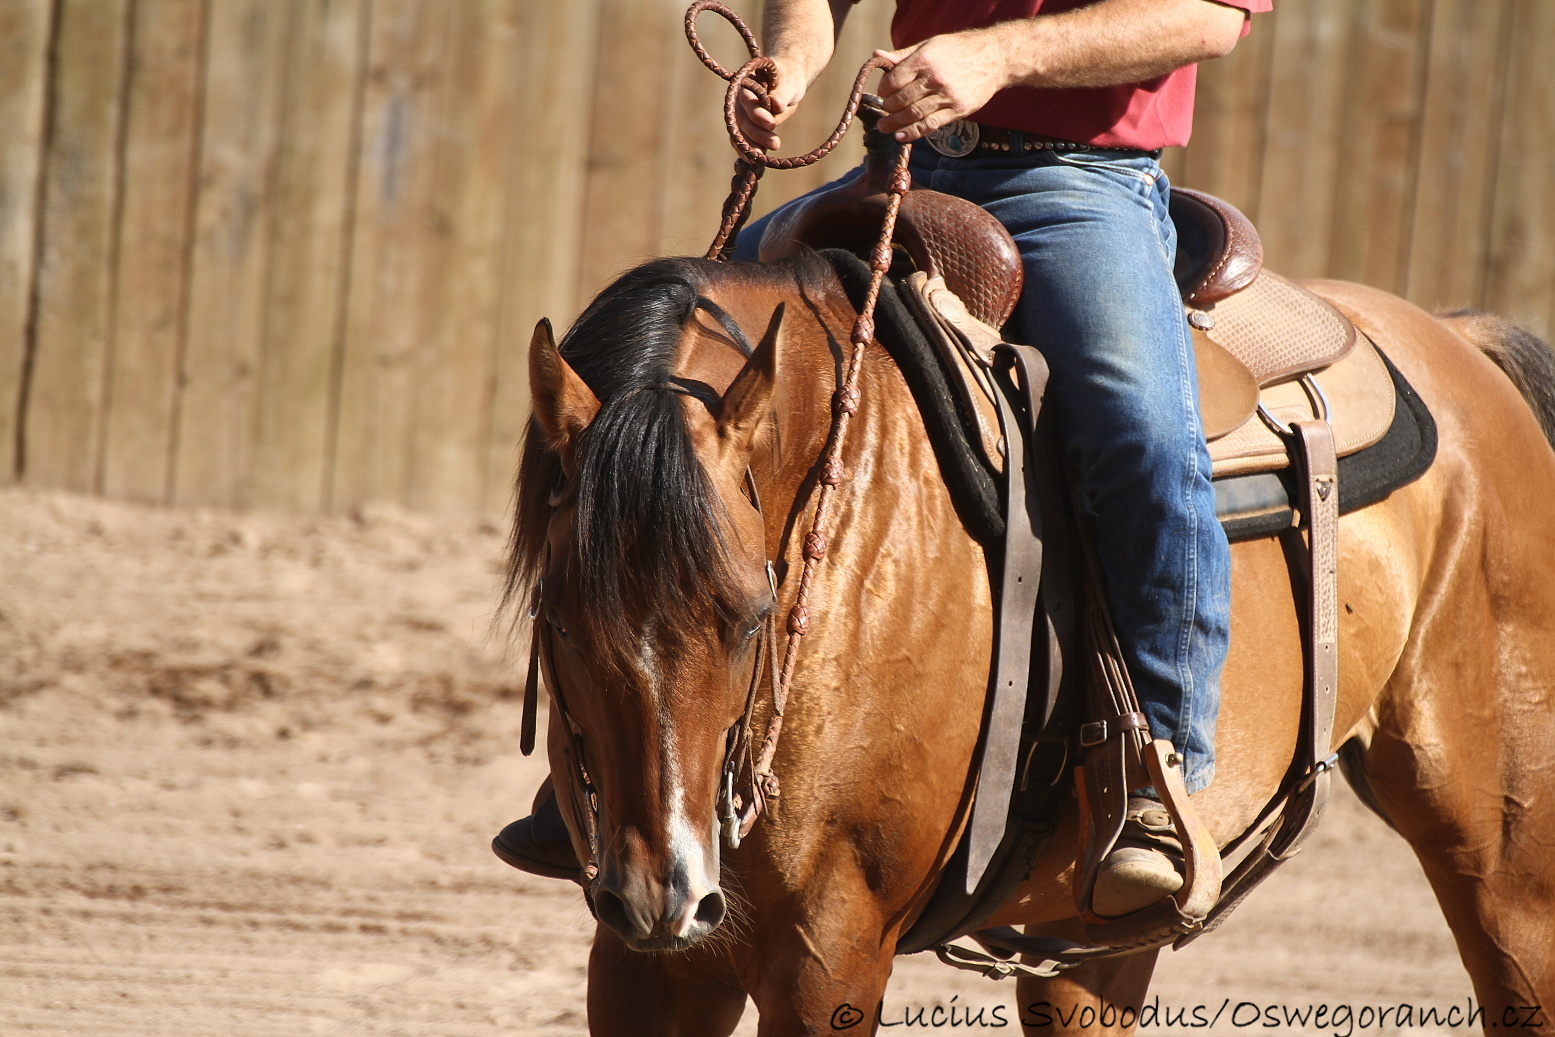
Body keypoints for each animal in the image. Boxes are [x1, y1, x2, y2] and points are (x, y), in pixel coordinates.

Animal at [516, 247, 1555, 1032]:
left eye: (747, 616)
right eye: (560, 614)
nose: (665, 890)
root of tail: (1455, 337)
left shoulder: (829, 942)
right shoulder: (648, 959)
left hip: (1505, 860)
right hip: (1093, 941)